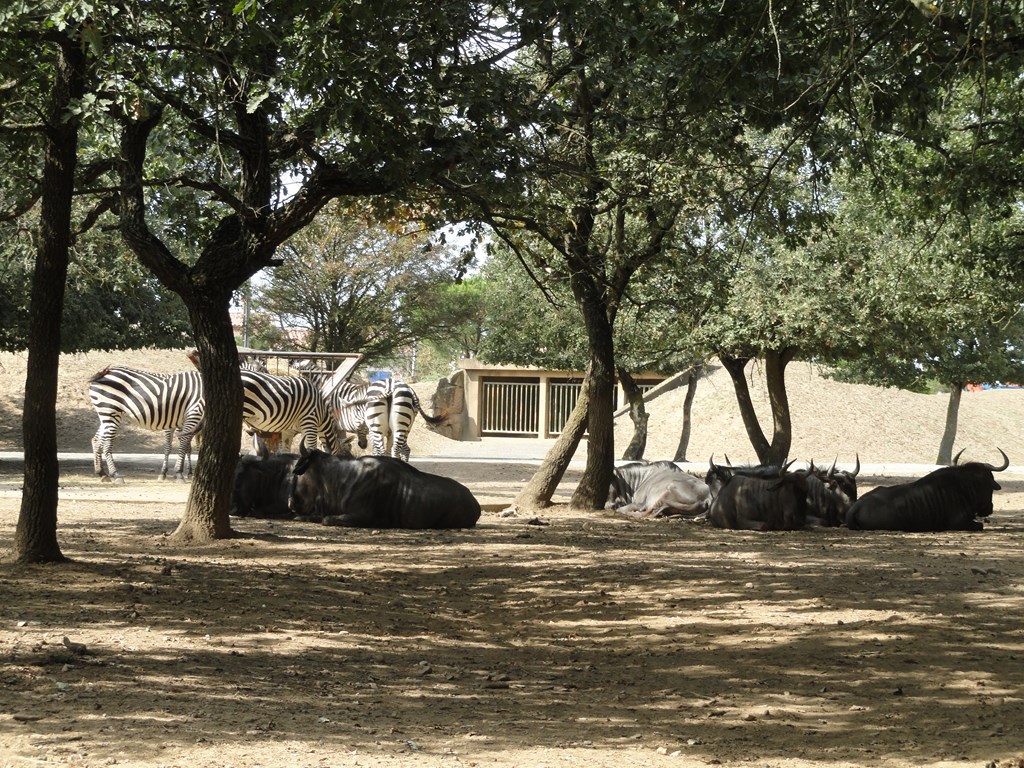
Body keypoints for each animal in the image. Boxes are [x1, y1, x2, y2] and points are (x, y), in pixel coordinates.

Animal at [845, 448, 1009, 532]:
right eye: (989, 485)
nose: (989, 508)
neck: (965, 487)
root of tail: (857, 506)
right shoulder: (960, 523)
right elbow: (980, 525)